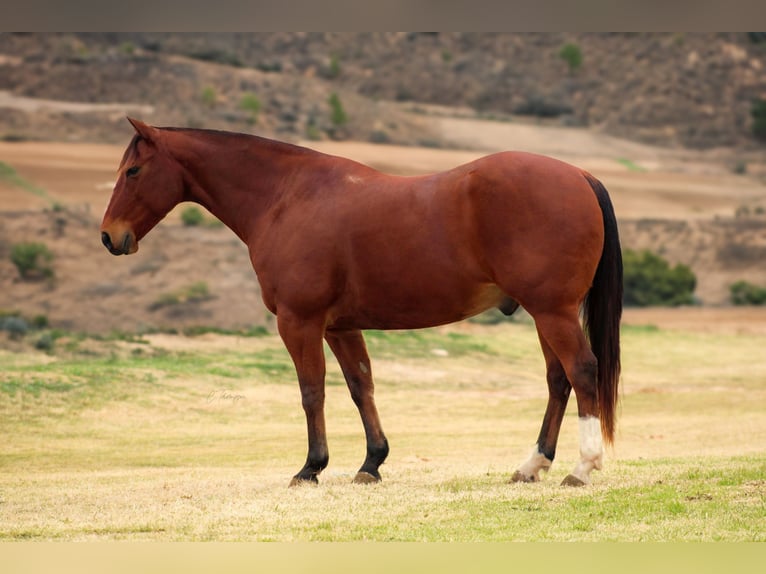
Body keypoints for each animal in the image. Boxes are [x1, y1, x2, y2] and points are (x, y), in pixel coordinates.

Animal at [100, 119, 624, 488]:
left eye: (133, 170)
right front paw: (372, 463)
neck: (287, 198)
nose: (109, 236)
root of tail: (579, 174)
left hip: (553, 312)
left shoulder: (300, 322)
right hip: (544, 314)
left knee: (581, 371)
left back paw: (582, 467)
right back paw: (532, 465)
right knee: (558, 380)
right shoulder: (339, 326)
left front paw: (311, 468)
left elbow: (312, 391)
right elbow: (360, 387)